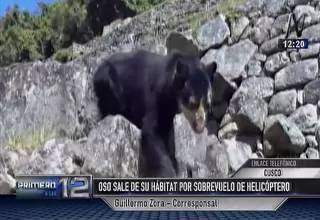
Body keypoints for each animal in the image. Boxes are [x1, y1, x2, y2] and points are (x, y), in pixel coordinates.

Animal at [93, 49, 218, 177]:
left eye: (208, 104)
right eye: (193, 103)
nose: (200, 127)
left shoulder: (168, 112)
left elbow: (168, 134)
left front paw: (175, 164)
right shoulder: (154, 97)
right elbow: (152, 132)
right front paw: (168, 171)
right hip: (109, 82)